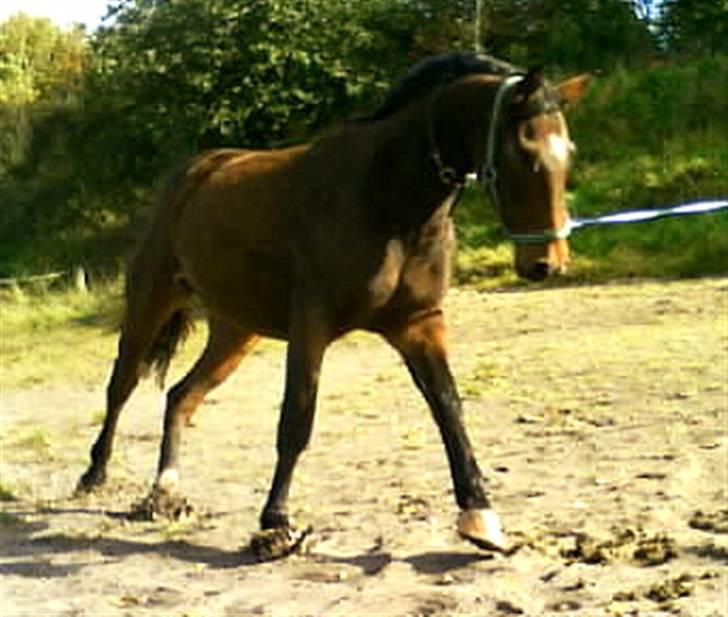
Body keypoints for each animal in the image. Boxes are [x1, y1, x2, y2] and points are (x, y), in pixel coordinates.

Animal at [78, 53, 592, 560]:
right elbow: (297, 418)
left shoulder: (418, 324)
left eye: (568, 153)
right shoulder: (313, 323)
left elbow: (449, 409)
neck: (386, 196)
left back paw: (165, 491)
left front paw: (480, 516)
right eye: (522, 152)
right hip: (151, 302)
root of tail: (194, 171)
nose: (546, 263)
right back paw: (94, 475)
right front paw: (276, 524)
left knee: (181, 396)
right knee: (121, 386)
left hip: (236, 330)